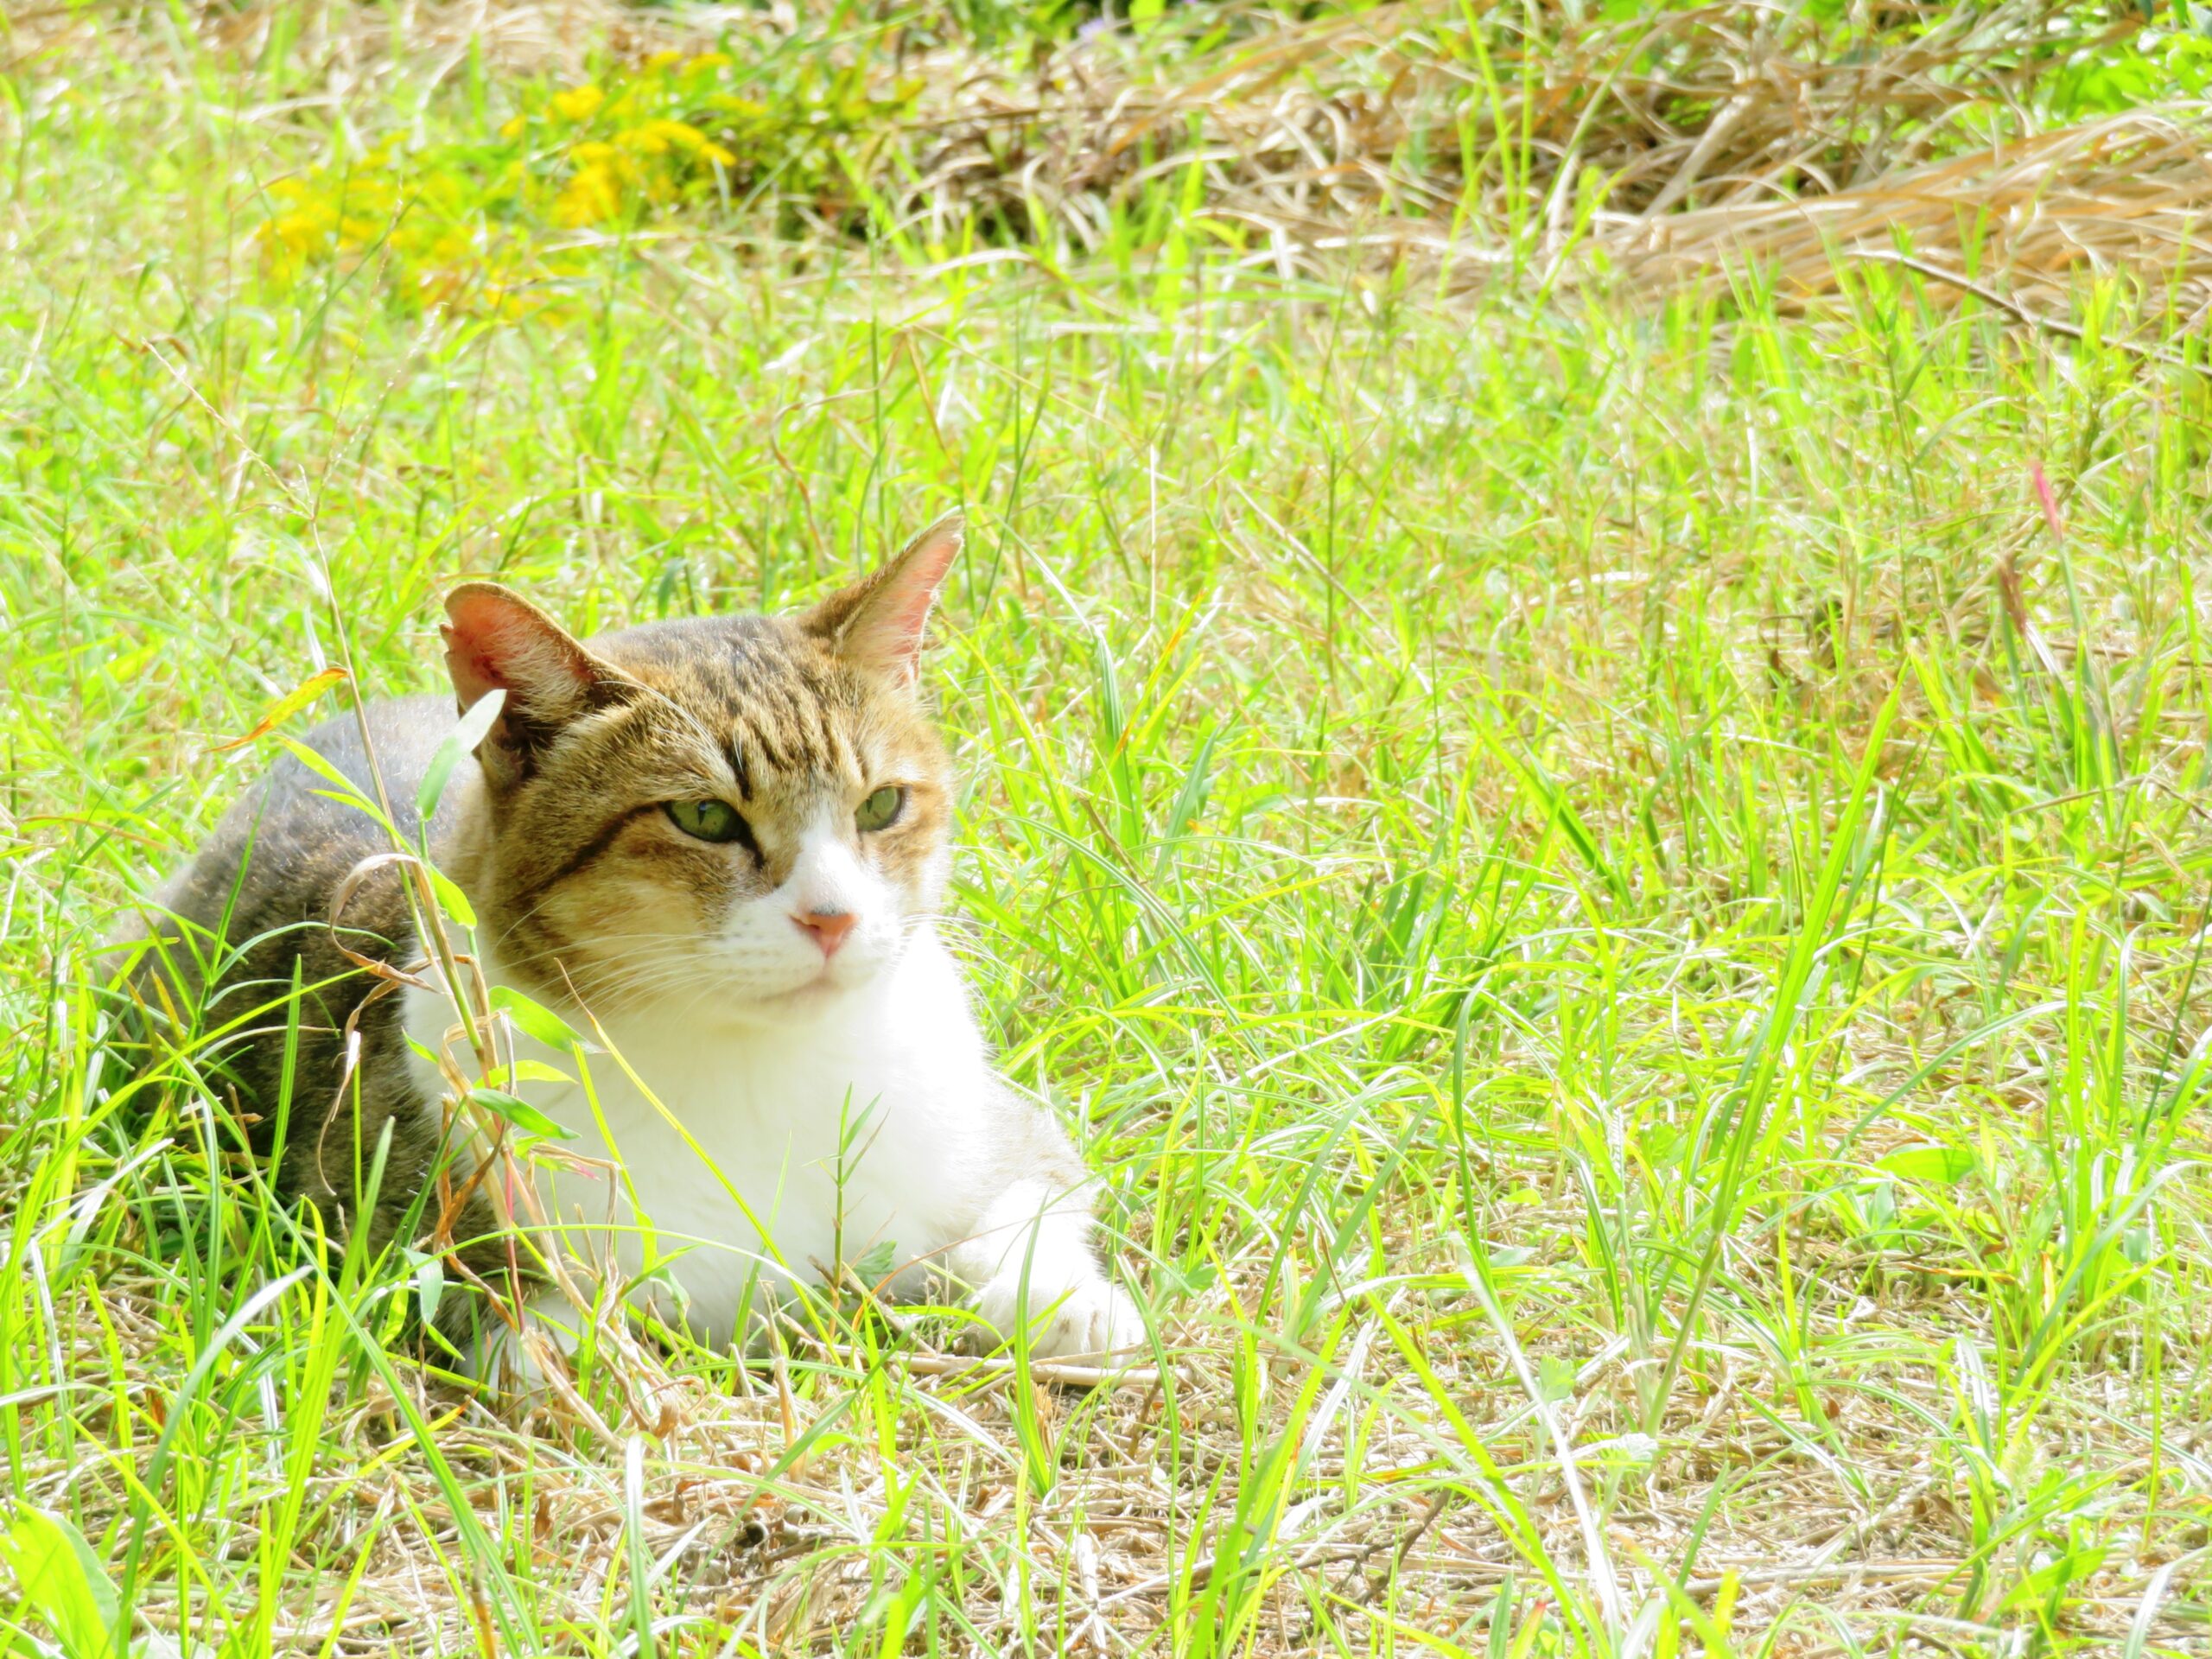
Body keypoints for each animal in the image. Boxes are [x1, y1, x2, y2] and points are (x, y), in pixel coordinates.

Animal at [136, 518, 1141, 1380]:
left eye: (883, 805)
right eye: (703, 818)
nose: (834, 919)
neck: (754, 1061)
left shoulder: (997, 1134)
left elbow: (1028, 1205)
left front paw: (1070, 1306)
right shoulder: (399, 1219)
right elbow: (529, 1330)